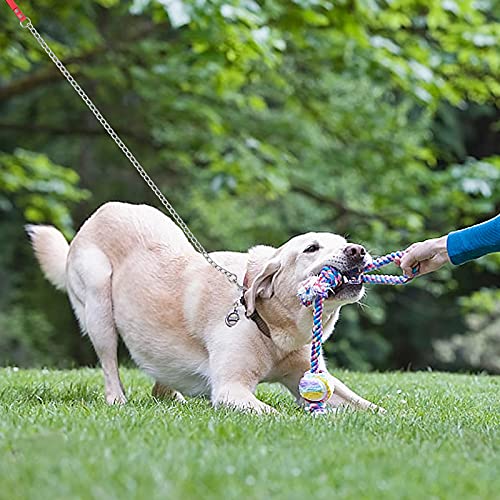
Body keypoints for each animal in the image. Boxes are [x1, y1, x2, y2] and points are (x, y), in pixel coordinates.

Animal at [27, 200, 384, 414]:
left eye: (344, 243)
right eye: (311, 248)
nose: (357, 250)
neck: (273, 327)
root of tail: (100, 212)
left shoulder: (312, 376)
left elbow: (367, 407)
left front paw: (391, 419)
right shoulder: (230, 388)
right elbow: (275, 414)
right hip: (99, 305)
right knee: (109, 365)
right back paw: (118, 400)